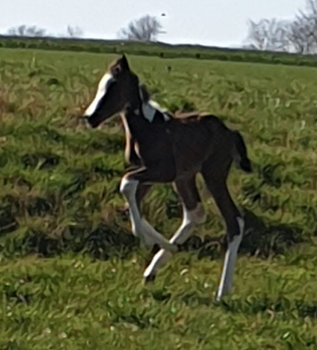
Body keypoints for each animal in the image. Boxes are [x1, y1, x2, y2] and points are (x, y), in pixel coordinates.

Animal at [82, 54, 252, 300]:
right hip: (185, 178)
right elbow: (131, 200)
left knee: (234, 220)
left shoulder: (162, 172)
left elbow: (126, 184)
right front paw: (157, 244)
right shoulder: (149, 175)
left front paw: (145, 240)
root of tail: (230, 132)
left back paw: (222, 291)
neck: (147, 129)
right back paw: (155, 268)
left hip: (213, 174)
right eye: (101, 85)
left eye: (112, 86)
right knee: (194, 214)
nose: (89, 117)